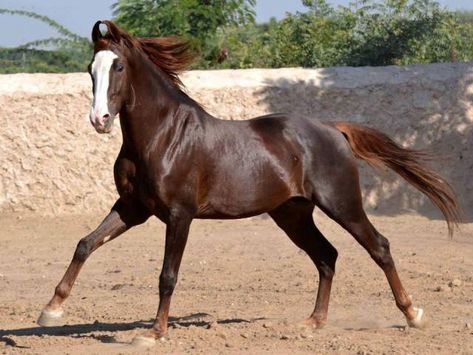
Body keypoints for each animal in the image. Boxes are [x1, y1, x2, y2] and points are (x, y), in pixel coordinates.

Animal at [38, 20, 460, 348]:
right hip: (292, 214)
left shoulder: (179, 215)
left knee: (379, 247)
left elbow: (167, 275)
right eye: (90, 69)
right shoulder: (132, 208)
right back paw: (313, 322)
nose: (100, 119)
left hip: (342, 204)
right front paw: (50, 311)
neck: (163, 137)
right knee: (327, 255)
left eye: (120, 66)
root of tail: (333, 129)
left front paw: (154, 333)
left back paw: (413, 314)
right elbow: (85, 244)